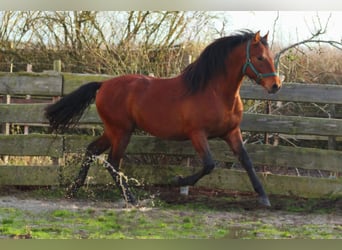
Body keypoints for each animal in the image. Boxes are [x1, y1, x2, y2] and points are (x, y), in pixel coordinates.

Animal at [44, 30, 280, 207]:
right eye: (260, 58)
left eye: (271, 56)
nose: (275, 86)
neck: (214, 92)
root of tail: (103, 85)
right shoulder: (197, 134)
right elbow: (209, 165)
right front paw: (178, 180)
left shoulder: (231, 133)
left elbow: (247, 161)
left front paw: (264, 197)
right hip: (121, 132)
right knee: (113, 161)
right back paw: (131, 199)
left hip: (113, 131)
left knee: (92, 151)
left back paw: (73, 189)